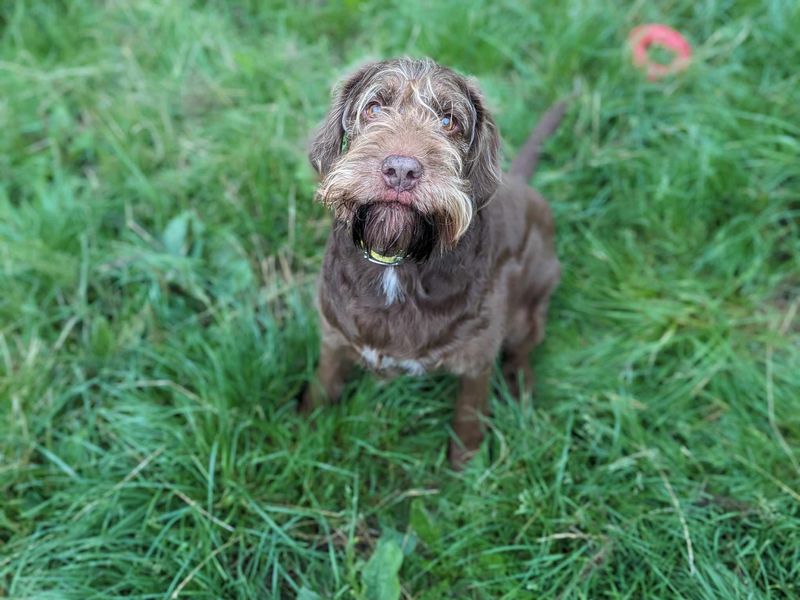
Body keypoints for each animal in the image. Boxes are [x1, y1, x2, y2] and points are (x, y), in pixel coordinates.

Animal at [300, 57, 564, 468]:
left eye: (448, 121)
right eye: (374, 108)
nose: (401, 170)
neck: (399, 260)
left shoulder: (476, 360)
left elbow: (469, 417)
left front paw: (467, 469)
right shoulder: (333, 336)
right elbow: (323, 383)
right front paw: (306, 430)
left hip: (531, 307)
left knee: (524, 348)